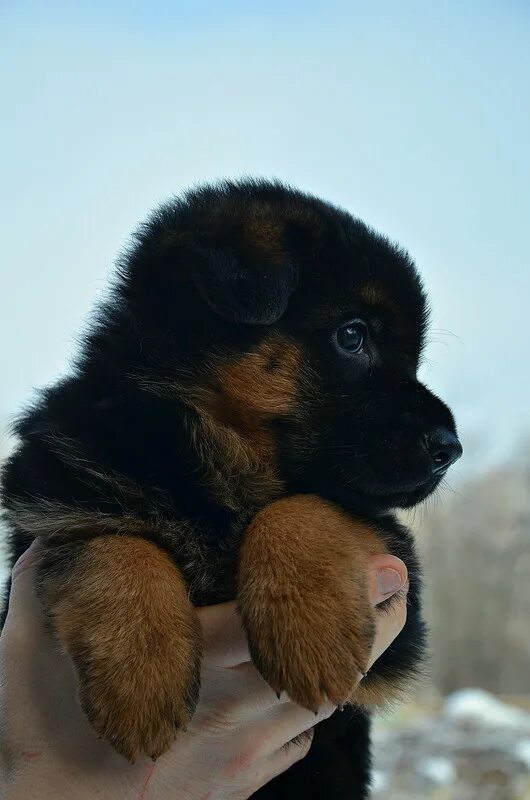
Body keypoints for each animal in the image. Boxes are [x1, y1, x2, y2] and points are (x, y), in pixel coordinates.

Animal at [1, 178, 458, 796]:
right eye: (352, 336)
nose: (451, 448)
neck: (214, 458)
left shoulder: (396, 615)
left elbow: (308, 504)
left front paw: (309, 628)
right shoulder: (48, 505)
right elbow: (105, 540)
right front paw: (140, 677)